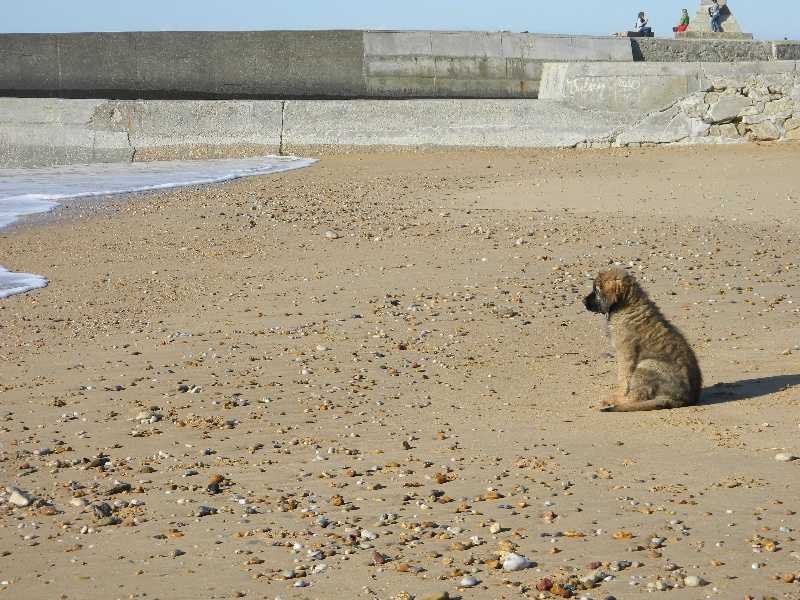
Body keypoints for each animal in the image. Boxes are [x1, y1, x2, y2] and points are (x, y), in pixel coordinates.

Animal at [580, 270, 700, 410]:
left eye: (597, 291)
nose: (583, 301)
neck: (627, 307)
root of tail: (683, 399)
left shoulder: (626, 353)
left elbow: (623, 377)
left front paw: (619, 393)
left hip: (647, 365)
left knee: (637, 397)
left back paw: (612, 399)